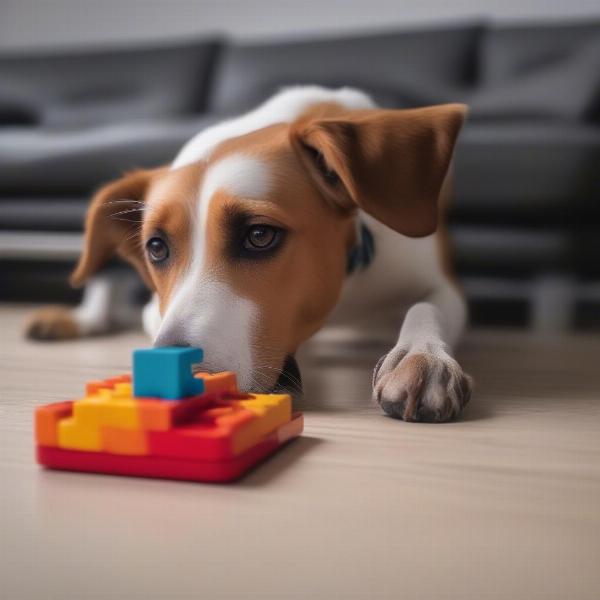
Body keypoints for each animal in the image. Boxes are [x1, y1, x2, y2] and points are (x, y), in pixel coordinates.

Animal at [24, 85, 474, 422]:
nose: (169, 370)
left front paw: (423, 358)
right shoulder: (157, 308)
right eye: (156, 247)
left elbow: (425, 307)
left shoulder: (436, 282)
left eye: (259, 235)